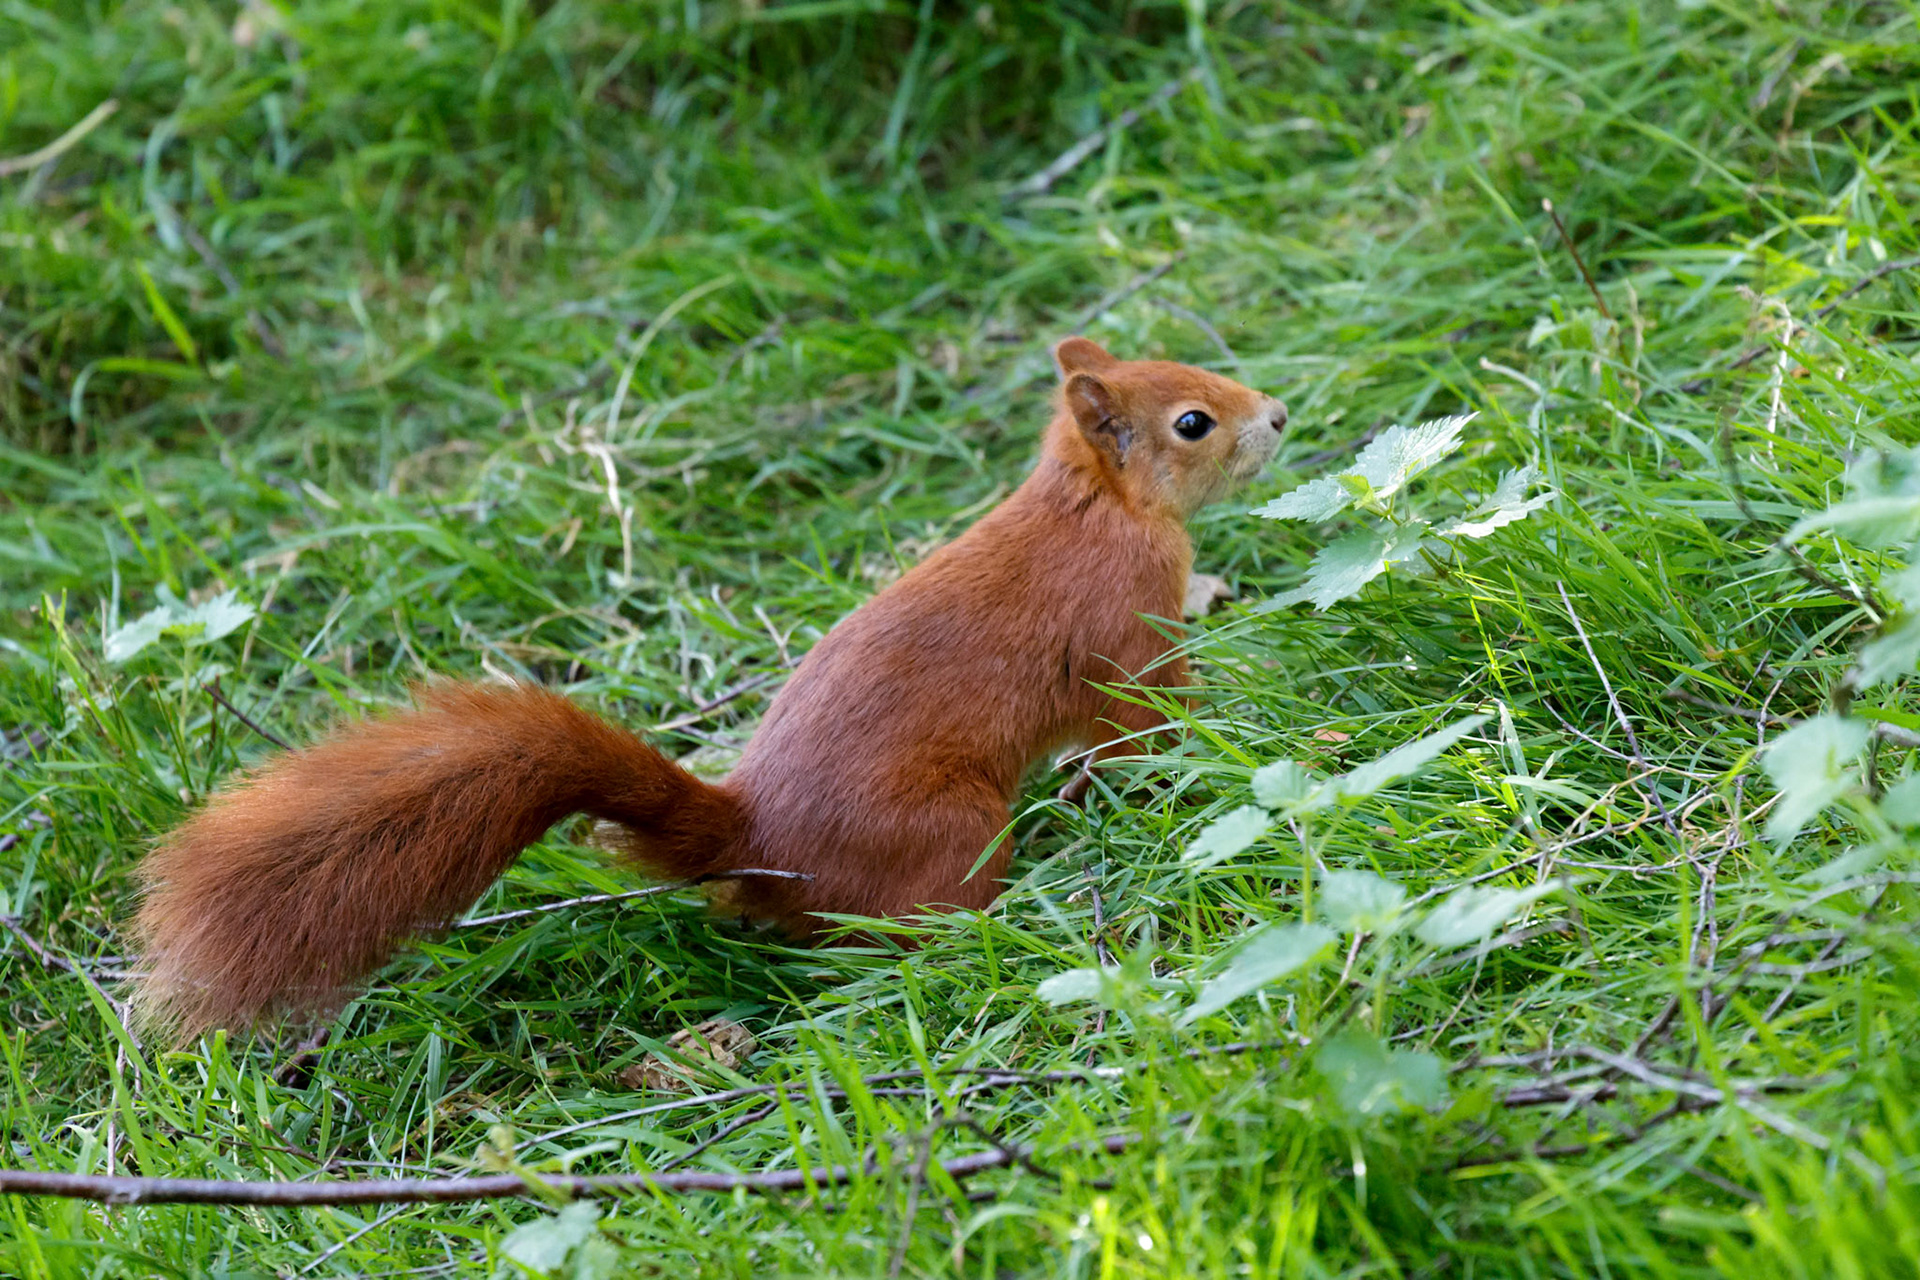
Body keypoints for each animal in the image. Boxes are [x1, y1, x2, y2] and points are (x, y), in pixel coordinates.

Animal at [130, 337, 1288, 1038]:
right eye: (1192, 420)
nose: (1277, 412)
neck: (1093, 507)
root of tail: (757, 842)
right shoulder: (1125, 629)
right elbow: (1146, 719)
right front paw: (1220, 729)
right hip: (950, 830)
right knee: (878, 940)